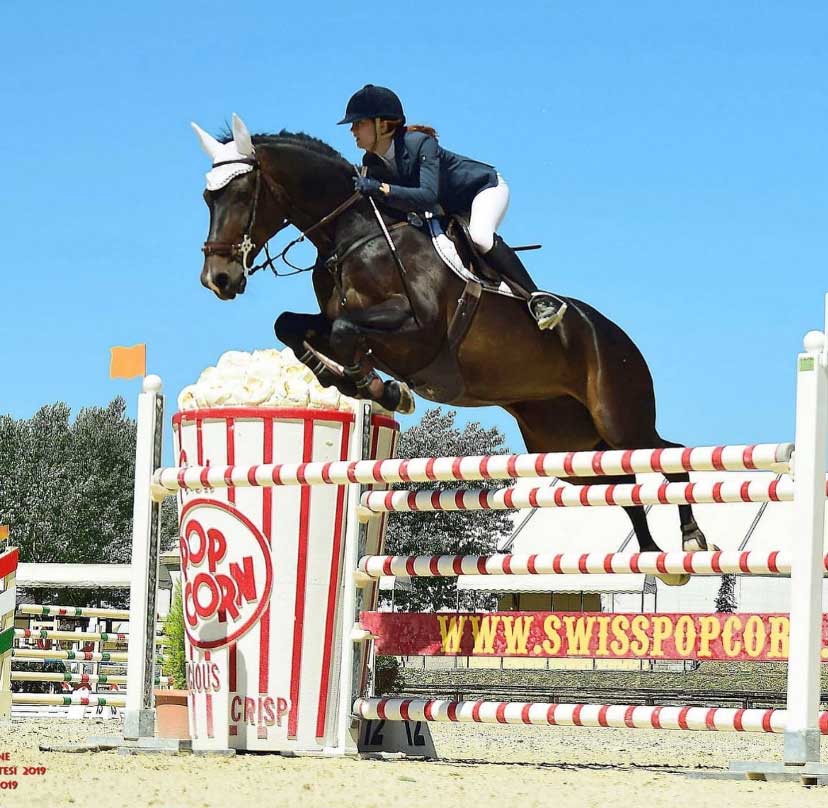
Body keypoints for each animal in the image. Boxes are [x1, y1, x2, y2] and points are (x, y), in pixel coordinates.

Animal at [193, 115, 710, 580]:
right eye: (207, 196)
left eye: (242, 194)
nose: (218, 279)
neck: (354, 236)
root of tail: (617, 335)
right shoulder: (343, 324)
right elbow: (292, 326)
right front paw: (362, 384)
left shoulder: (418, 329)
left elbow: (343, 330)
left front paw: (379, 388)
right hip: (568, 443)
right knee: (625, 484)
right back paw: (652, 555)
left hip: (618, 419)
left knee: (670, 457)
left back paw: (689, 542)